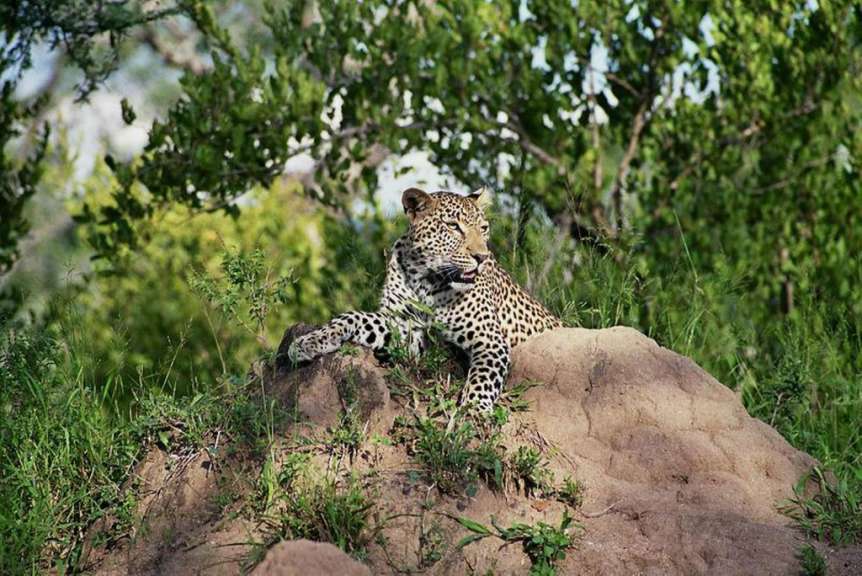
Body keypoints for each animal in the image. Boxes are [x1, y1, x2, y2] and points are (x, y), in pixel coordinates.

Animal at [287, 186, 562, 412]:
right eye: (453, 226)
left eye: (483, 228)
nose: (482, 257)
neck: (425, 279)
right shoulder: (409, 331)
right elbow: (356, 317)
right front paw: (310, 341)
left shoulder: (490, 338)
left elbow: (483, 378)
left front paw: (473, 413)